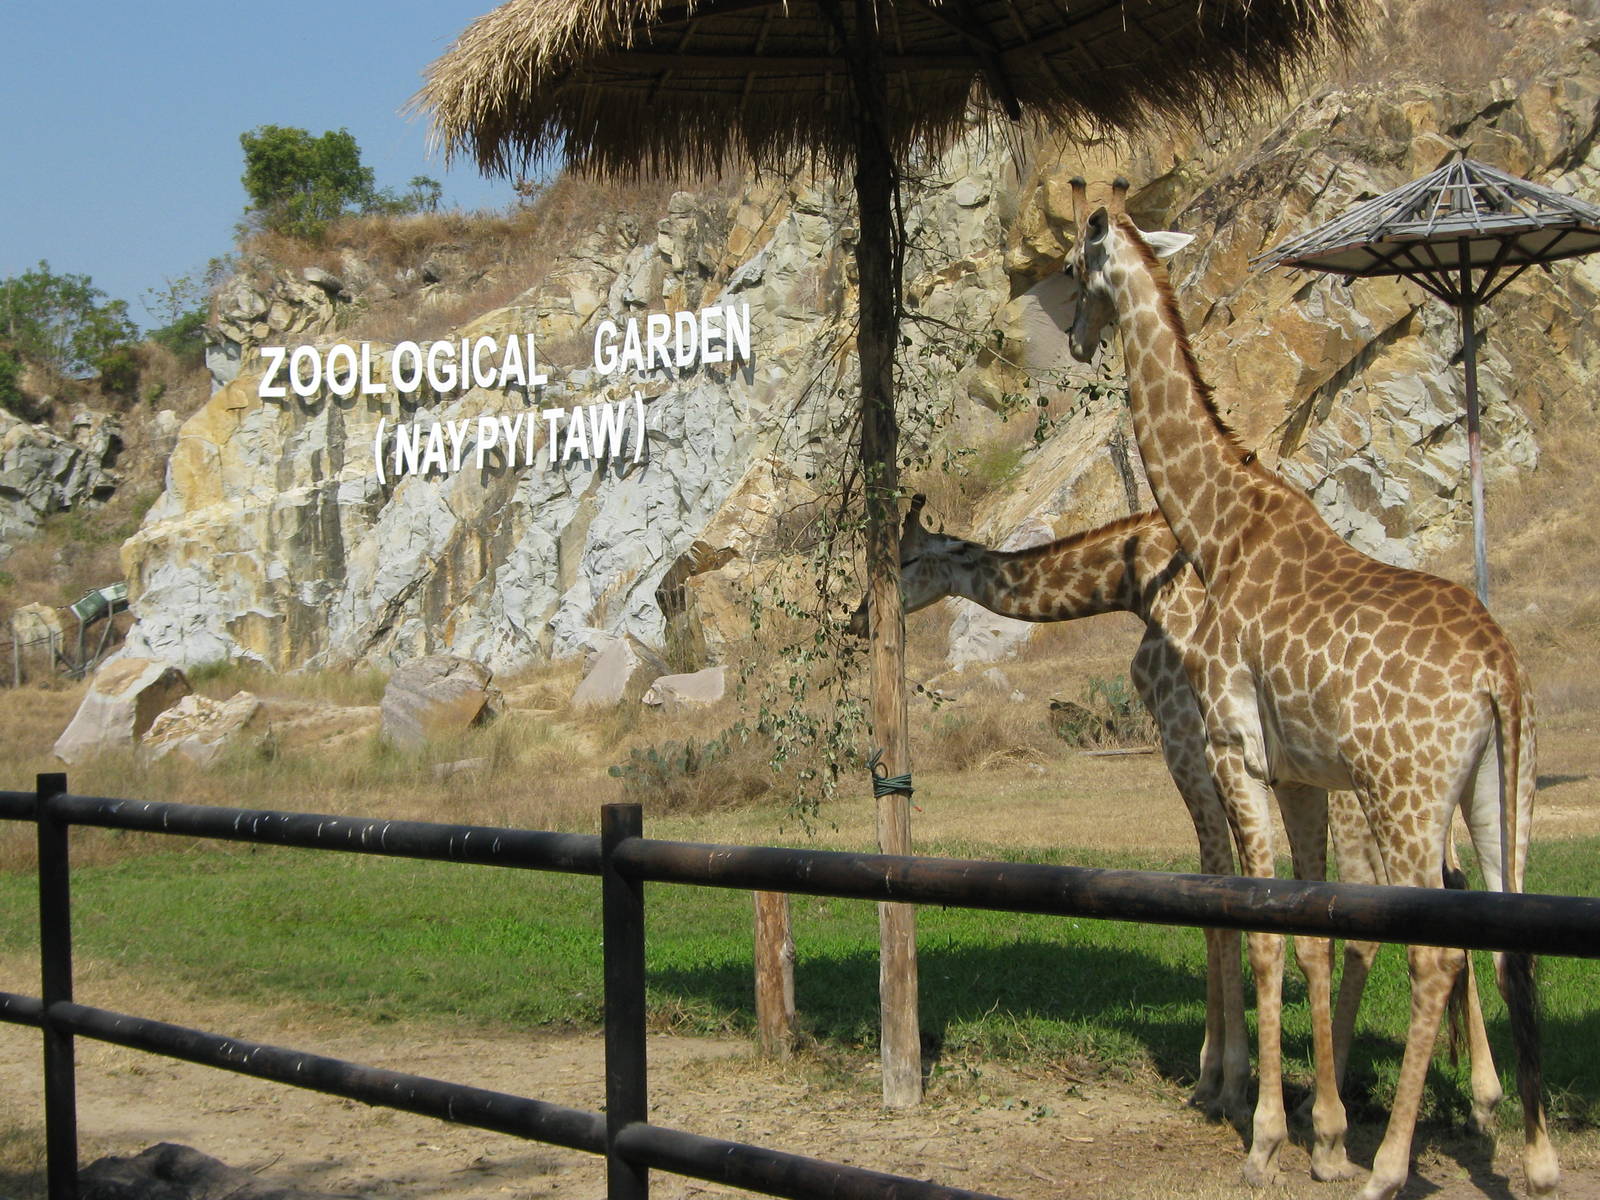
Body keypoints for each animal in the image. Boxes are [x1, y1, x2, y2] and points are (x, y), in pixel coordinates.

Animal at [847, 498, 1502, 1133]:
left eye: (904, 560)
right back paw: (1477, 1097)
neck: (1133, 580)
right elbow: (1218, 894)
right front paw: (1219, 1077)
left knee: (1374, 900)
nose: (857, 618)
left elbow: (1226, 899)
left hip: (1355, 782)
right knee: (1448, 887)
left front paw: (1227, 1084)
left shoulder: (1190, 736)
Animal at [1060, 175, 1556, 1200]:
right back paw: (1535, 1156)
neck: (1217, 529)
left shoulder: (1236, 750)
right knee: (1515, 938)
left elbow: (1263, 929)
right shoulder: (1299, 775)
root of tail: (1499, 671)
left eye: (1070, 270)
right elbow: (1314, 926)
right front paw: (1321, 1133)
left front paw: (1266, 1138)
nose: (1078, 339)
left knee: (1439, 953)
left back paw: (1391, 1167)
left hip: (1408, 796)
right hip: (1501, 789)